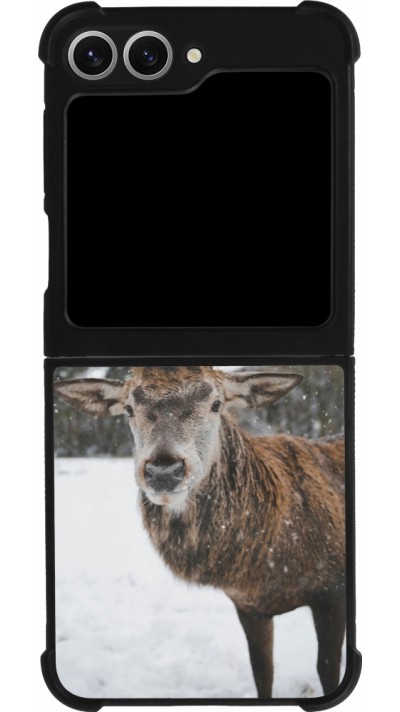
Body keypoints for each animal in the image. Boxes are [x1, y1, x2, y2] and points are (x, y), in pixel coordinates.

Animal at [54, 366, 346, 699]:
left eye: (216, 404)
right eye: (128, 408)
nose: (163, 470)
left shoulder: (332, 589)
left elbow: (327, 670)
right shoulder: (248, 606)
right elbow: (262, 672)